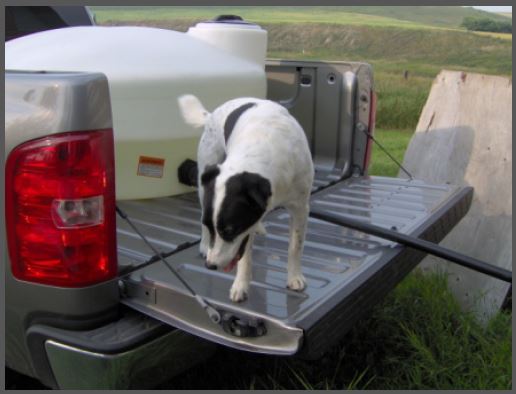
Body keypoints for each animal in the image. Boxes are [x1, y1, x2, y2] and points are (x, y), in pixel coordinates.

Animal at [177, 94, 314, 302]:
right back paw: (204, 244)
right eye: (224, 229)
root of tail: (211, 115)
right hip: (204, 178)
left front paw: (294, 277)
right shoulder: (244, 225)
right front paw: (240, 285)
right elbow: (244, 258)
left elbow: (295, 247)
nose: (210, 266)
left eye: (230, 230)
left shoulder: (300, 208)